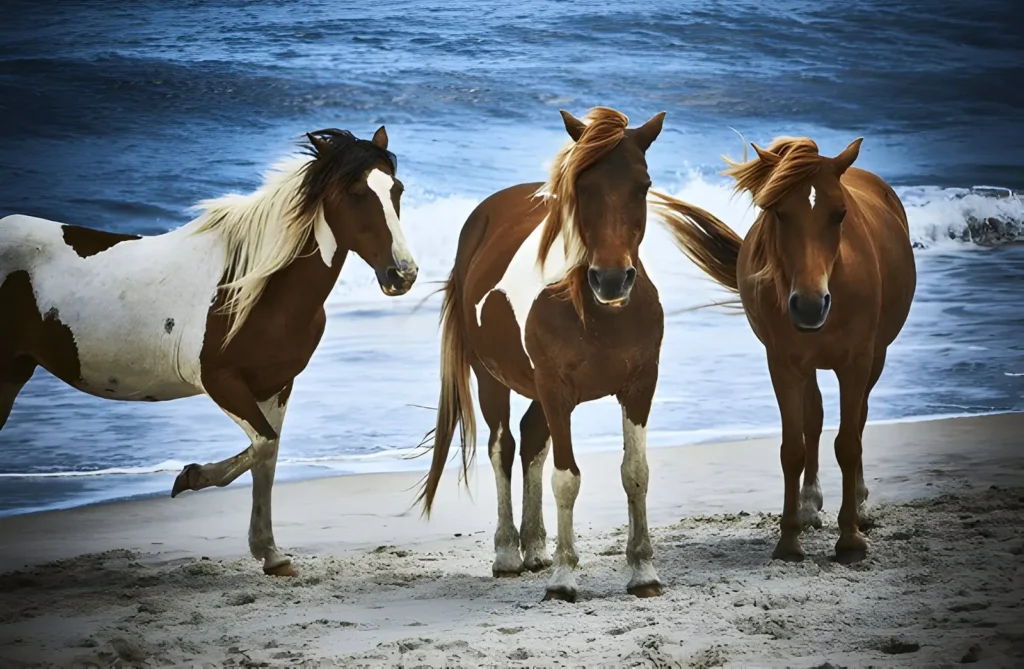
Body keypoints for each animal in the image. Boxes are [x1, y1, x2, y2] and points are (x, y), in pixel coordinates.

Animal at [0, 126, 417, 573]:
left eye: (396, 189)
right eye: (355, 192)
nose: (402, 274)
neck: (254, 287)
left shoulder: (276, 385)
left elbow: (267, 457)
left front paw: (271, 555)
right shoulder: (221, 381)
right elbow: (263, 445)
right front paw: (190, 477)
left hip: (14, 372)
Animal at [421, 105, 729, 598]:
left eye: (643, 184)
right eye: (582, 185)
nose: (611, 279)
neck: (599, 313)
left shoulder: (639, 386)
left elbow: (635, 473)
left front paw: (643, 572)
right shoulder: (556, 390)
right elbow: (566, 479)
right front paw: (564, 579)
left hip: (539, 393)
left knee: (531, 441)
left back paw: (535, 549)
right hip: (494, 380)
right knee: (502, 447)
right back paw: (508, 554)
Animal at [651, 135, 917, 565]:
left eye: (840, 214)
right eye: (778, 212)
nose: (809, 306)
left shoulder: (857, 362)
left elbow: (849, 443)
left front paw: (851, 540)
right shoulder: (785, 365)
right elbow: (793, 448)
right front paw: (790, 540)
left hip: (875, 359)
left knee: (858, 419)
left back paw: (860, 506)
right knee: (815, 417)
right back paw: (809, 505)